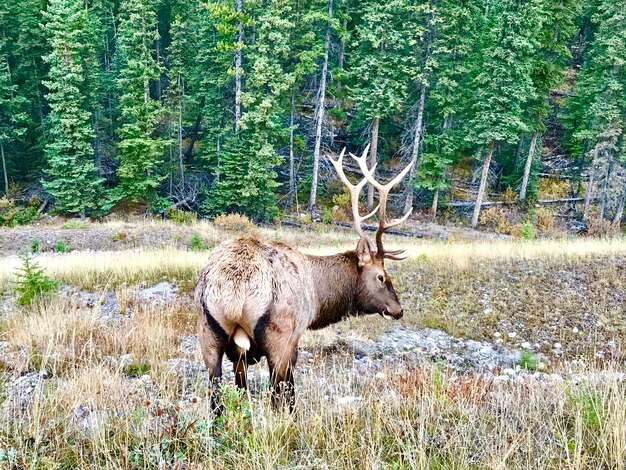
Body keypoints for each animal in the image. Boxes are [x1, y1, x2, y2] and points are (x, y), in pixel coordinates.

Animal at [194, 144, 410, 412]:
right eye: (381, 276)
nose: (398, 309)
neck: (319, 296)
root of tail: (235, 290)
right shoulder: (295, 337)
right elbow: (289, 391)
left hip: (207, 331)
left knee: (216, 397)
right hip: (278, 334)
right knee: (276, 392)